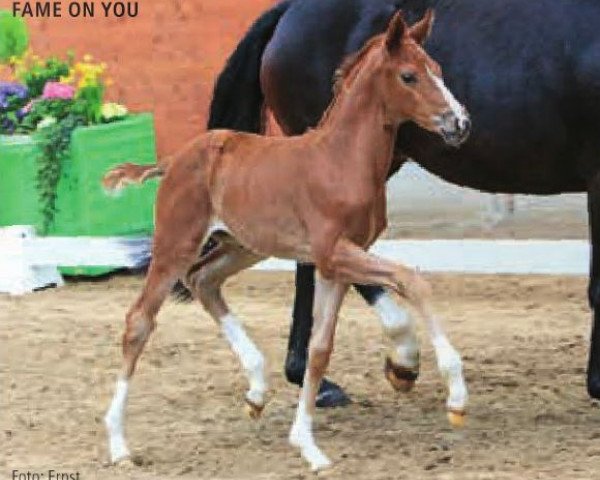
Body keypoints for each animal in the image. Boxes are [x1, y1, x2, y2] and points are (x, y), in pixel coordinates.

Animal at [102, 9, 468, 470]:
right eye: (409, 76)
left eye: (438, 70)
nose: (460, 123)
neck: (339, 160)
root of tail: (175, 158)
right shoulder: (333, 253)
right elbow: (412, 280)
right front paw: (457, 397)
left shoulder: (338, 265)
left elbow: (320, 349)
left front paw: (308, 445)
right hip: (175, 243)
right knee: (140, 321)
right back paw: (118, 444)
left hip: (242, 245)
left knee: (204, 280)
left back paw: (256, 389)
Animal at [207, 0, 600, 404]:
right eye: (410, 75)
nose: (460, 122)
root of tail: (287, 13)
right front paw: (598, 384)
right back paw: (391, 359)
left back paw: (317, 376)